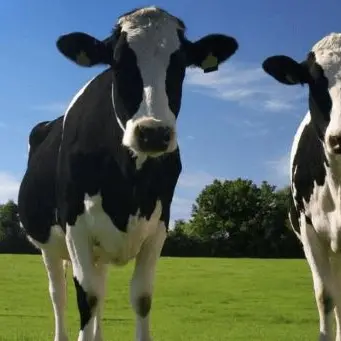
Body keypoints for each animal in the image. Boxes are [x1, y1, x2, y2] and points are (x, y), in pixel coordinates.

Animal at [17, 5, 236, 340]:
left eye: (181, 64)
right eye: (118, 62)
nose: (153, 132)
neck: (129, 184)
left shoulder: (159, 225)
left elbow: (141, 296)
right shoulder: (75, 225)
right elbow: (87, 296)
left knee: (101, 289)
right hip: (48, 245)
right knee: (60, 294)